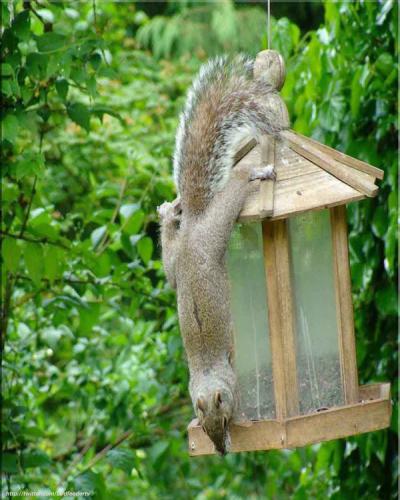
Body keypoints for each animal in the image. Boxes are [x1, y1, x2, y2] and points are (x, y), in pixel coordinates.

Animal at [159, 52, 288, 456]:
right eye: (203, 424)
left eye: (226, 416)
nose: (221, 449)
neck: (207, 374)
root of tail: (196, 221)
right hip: (177, 265)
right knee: (169, 265)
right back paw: (167, 215)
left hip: (219, 225)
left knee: (236, 186)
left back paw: (257, 172)